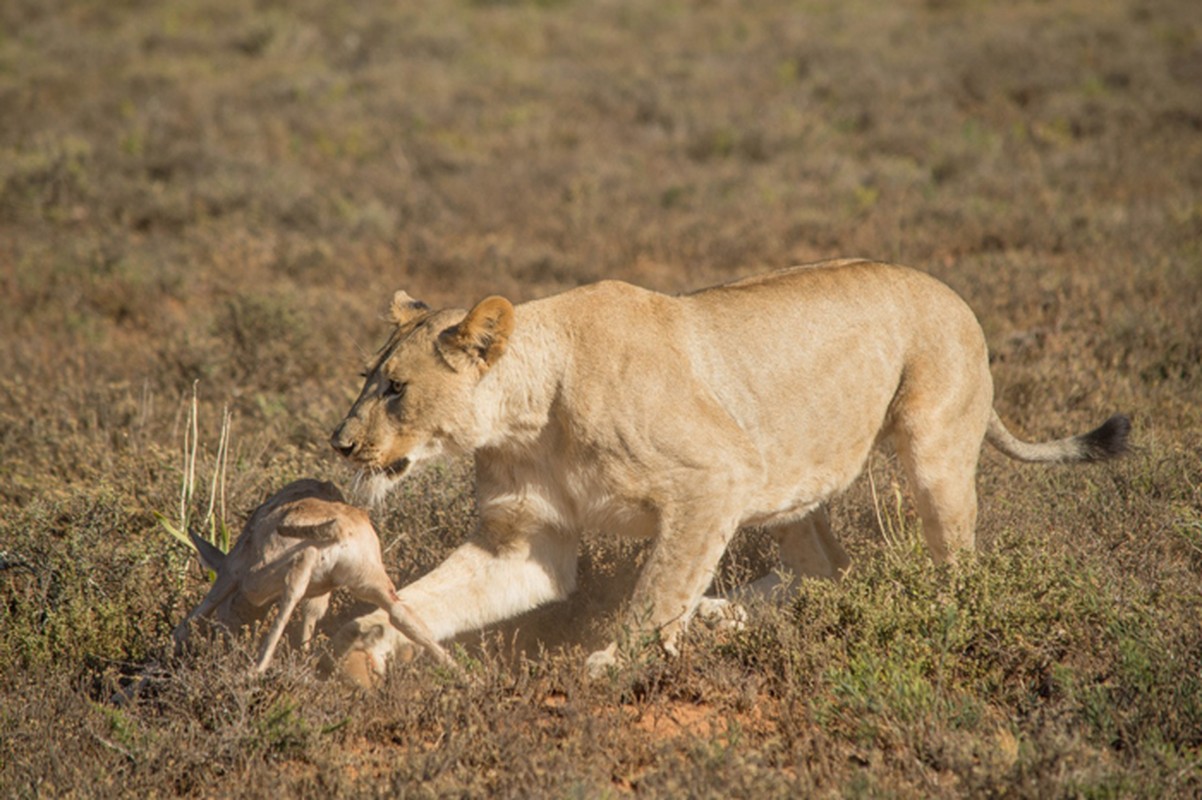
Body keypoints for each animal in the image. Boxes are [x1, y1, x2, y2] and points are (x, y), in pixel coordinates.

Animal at [326, 258, 1125, 677]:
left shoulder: (715, 479)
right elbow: (431, 597)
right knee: (825, 573)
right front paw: (368, 643)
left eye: (394, 388)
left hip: (931, 455)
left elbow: (654, 593)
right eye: (369, 379)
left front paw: (613, 664)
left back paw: (937, 619)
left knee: (955, 569)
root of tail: (953, 293)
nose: (338, 442)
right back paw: (729, 616)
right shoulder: (522, 544)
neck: (525, 417)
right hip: (794, 491)